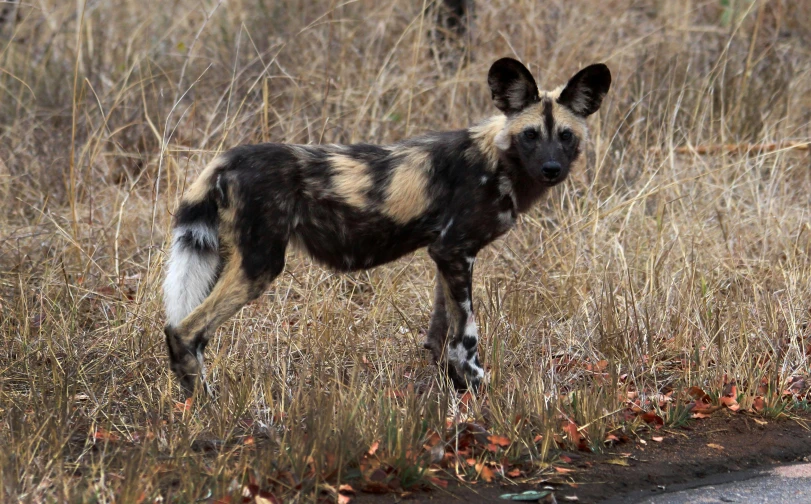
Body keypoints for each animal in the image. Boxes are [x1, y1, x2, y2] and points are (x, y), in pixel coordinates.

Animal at [163, 58, 608, 398]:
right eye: (530, 135)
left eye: (565, 136)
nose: (551, 169)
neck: (496, 161)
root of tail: (228, 158)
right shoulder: (456, 251)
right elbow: (467, 337)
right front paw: (478, 389)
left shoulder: (446, 255)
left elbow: (441, 335)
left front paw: (453, 390)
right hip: (259, 266)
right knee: (185, 332)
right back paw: (208, 405)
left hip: (224, 259)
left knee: (181, 329)